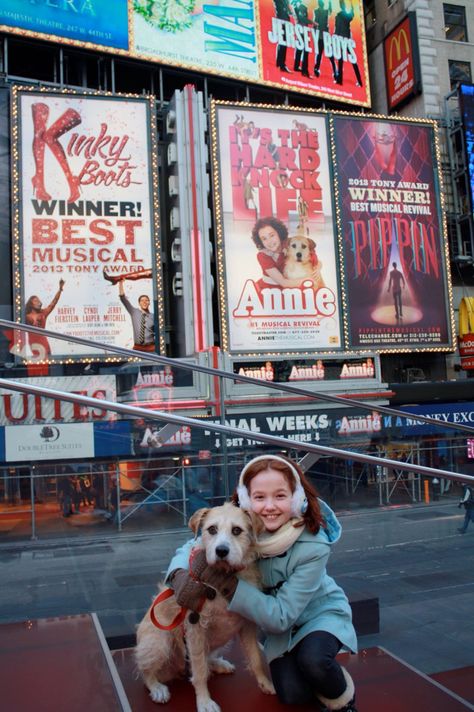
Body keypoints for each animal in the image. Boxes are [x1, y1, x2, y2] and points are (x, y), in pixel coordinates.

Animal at [134, 500, 274, 712]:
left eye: (237, 530)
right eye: (212, 529)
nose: (221, 551)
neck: (223, 580)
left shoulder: (248, 624)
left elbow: (256, 658)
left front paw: (265, 683)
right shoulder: (195, 628)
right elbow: (199, 672)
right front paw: (205, 702)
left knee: (206, 659)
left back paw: (217, 664)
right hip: (160, 642)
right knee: (146, 670)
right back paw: (157, 688)